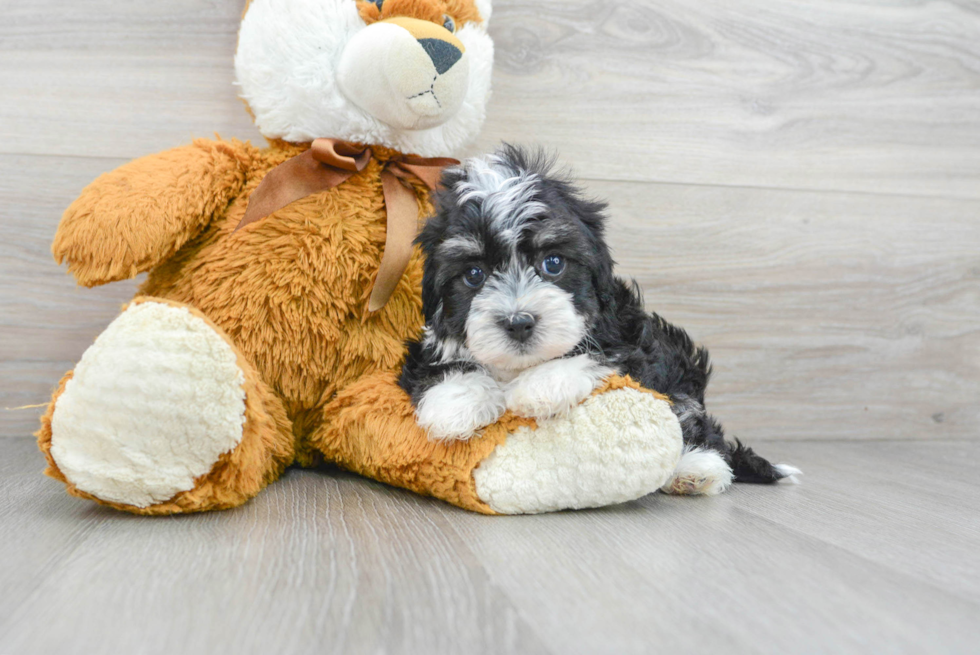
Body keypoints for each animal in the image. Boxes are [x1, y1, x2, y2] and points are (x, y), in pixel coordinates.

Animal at [398, 146, 796, 494]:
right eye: (474, 275)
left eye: (553, 263)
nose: (519, 322)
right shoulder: (423, 344)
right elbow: (440, 365)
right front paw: (456, 403)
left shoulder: (633, 340)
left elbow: (600, 354)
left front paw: (537, 388)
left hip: (680, 372)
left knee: (692, 417)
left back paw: (696, 469)